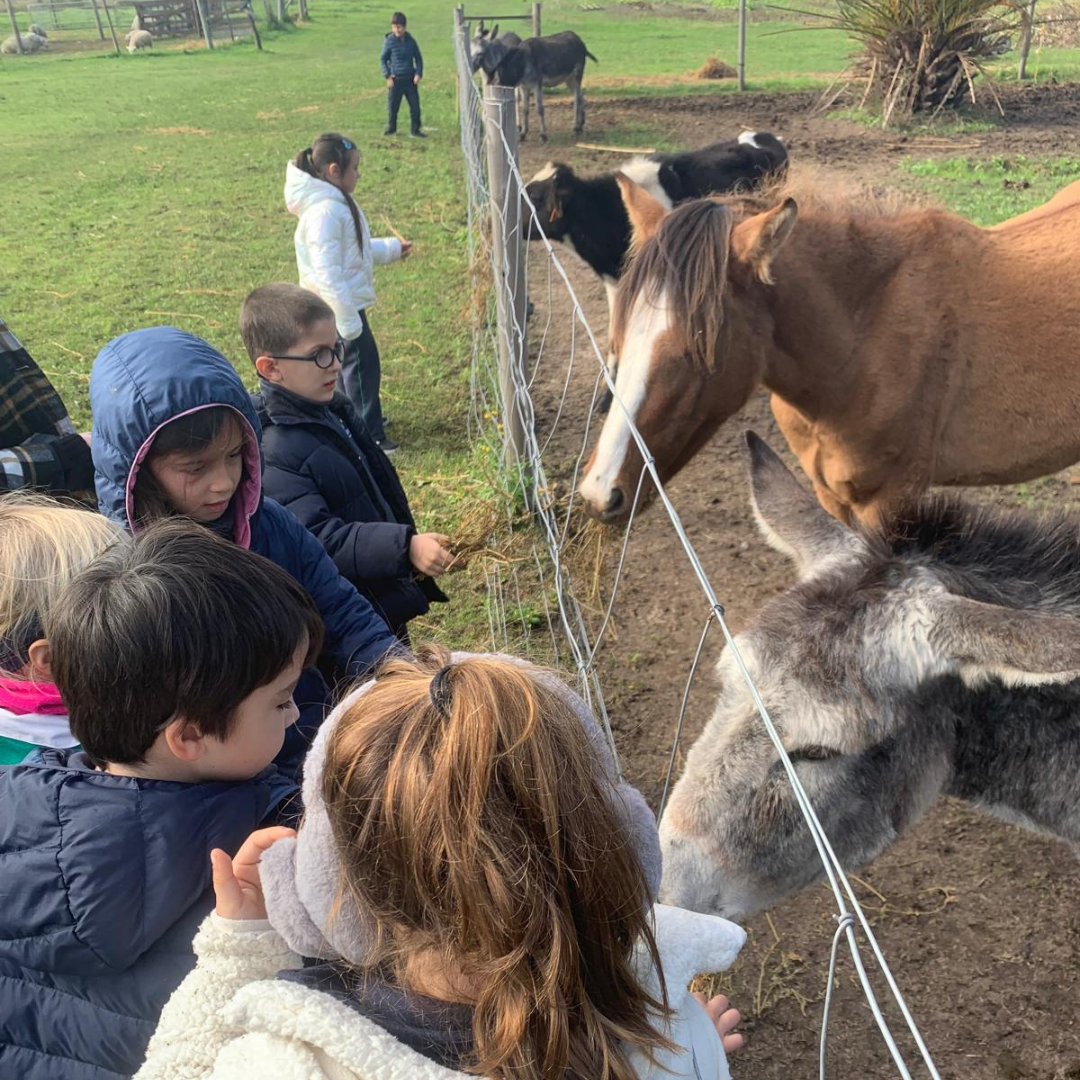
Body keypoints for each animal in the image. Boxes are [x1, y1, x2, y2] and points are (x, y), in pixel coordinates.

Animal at [577, 175, 1080, 527]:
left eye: (695, 349)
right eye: (619, 338)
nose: (600, 493)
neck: (864, 341)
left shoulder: (890, 501)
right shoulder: (832, 497)